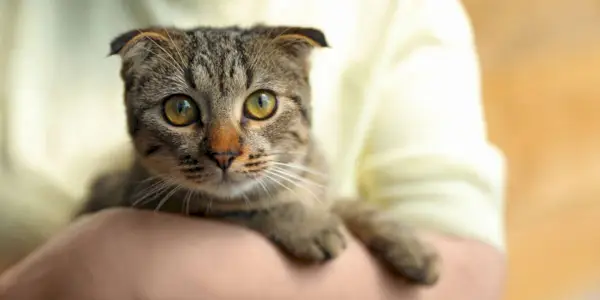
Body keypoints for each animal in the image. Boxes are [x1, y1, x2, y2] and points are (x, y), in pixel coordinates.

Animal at [77, 25, 438, 284]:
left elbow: (348, 204)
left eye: (261, 103)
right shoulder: (138, 196)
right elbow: (249, 207)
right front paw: (308, 225)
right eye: (180, 109)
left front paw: (410, 243)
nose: (224, 154)